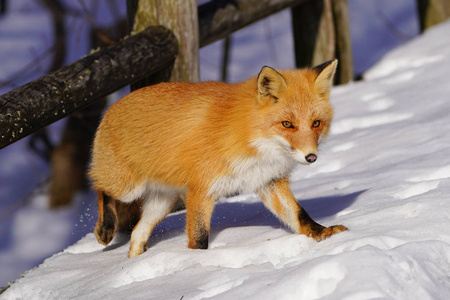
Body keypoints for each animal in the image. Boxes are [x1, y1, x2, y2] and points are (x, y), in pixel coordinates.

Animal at [89, 59, 348, 258]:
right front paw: (198, 262)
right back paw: (105, 228)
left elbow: (299, 214)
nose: (311, 157)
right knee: (100, 187)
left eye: (316, 123)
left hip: (162, 202)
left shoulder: (268, 180)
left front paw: (322, 233)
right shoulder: (201, 190)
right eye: (287, 124)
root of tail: (111, 108)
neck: (252, 142)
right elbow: (199, 238)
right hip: (128, 188)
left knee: (137, 232)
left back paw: (136, 263)